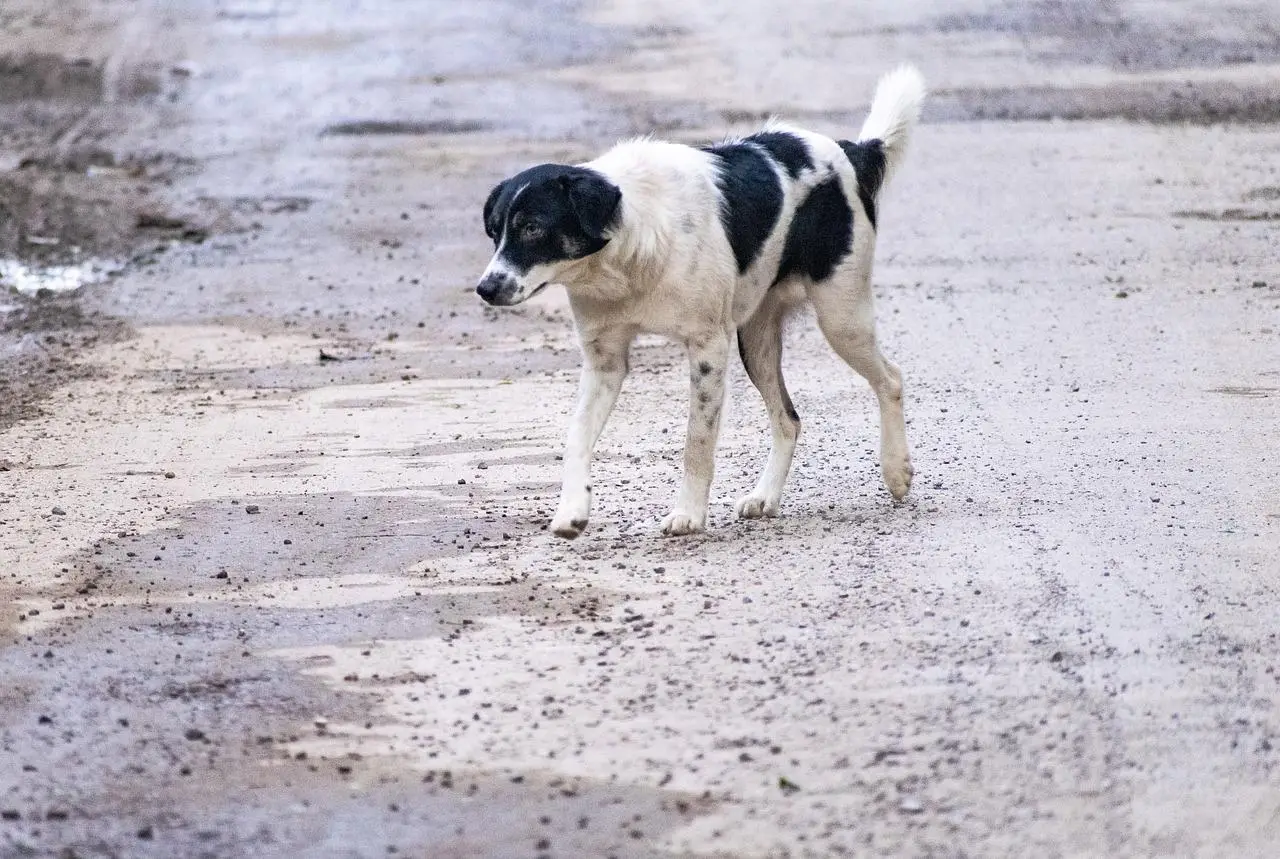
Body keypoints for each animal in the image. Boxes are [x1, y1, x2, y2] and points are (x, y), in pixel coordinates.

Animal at [476, 65, 926, 537]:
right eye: (493, 231)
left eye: (532, 228)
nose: (485, 288)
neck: (627, 252)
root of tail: (849, 151)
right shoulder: (605, 361)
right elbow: (576, 435)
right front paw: (572, 511)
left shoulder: (708, 347)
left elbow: (698, 440)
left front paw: (689, 514)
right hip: (756, 340)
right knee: (788, 418)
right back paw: (766, 496)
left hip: (841, 316)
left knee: (890, 379)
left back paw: (896, 470)